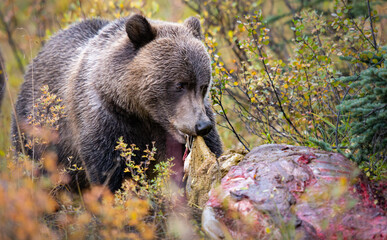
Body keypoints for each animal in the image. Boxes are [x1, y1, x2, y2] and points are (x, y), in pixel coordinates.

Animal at [12, 14, 223, 191]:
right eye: (180, 85)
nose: (202, 126)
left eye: (203, 85)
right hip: (39, 133)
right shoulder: (106, 120)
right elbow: (111, 173)